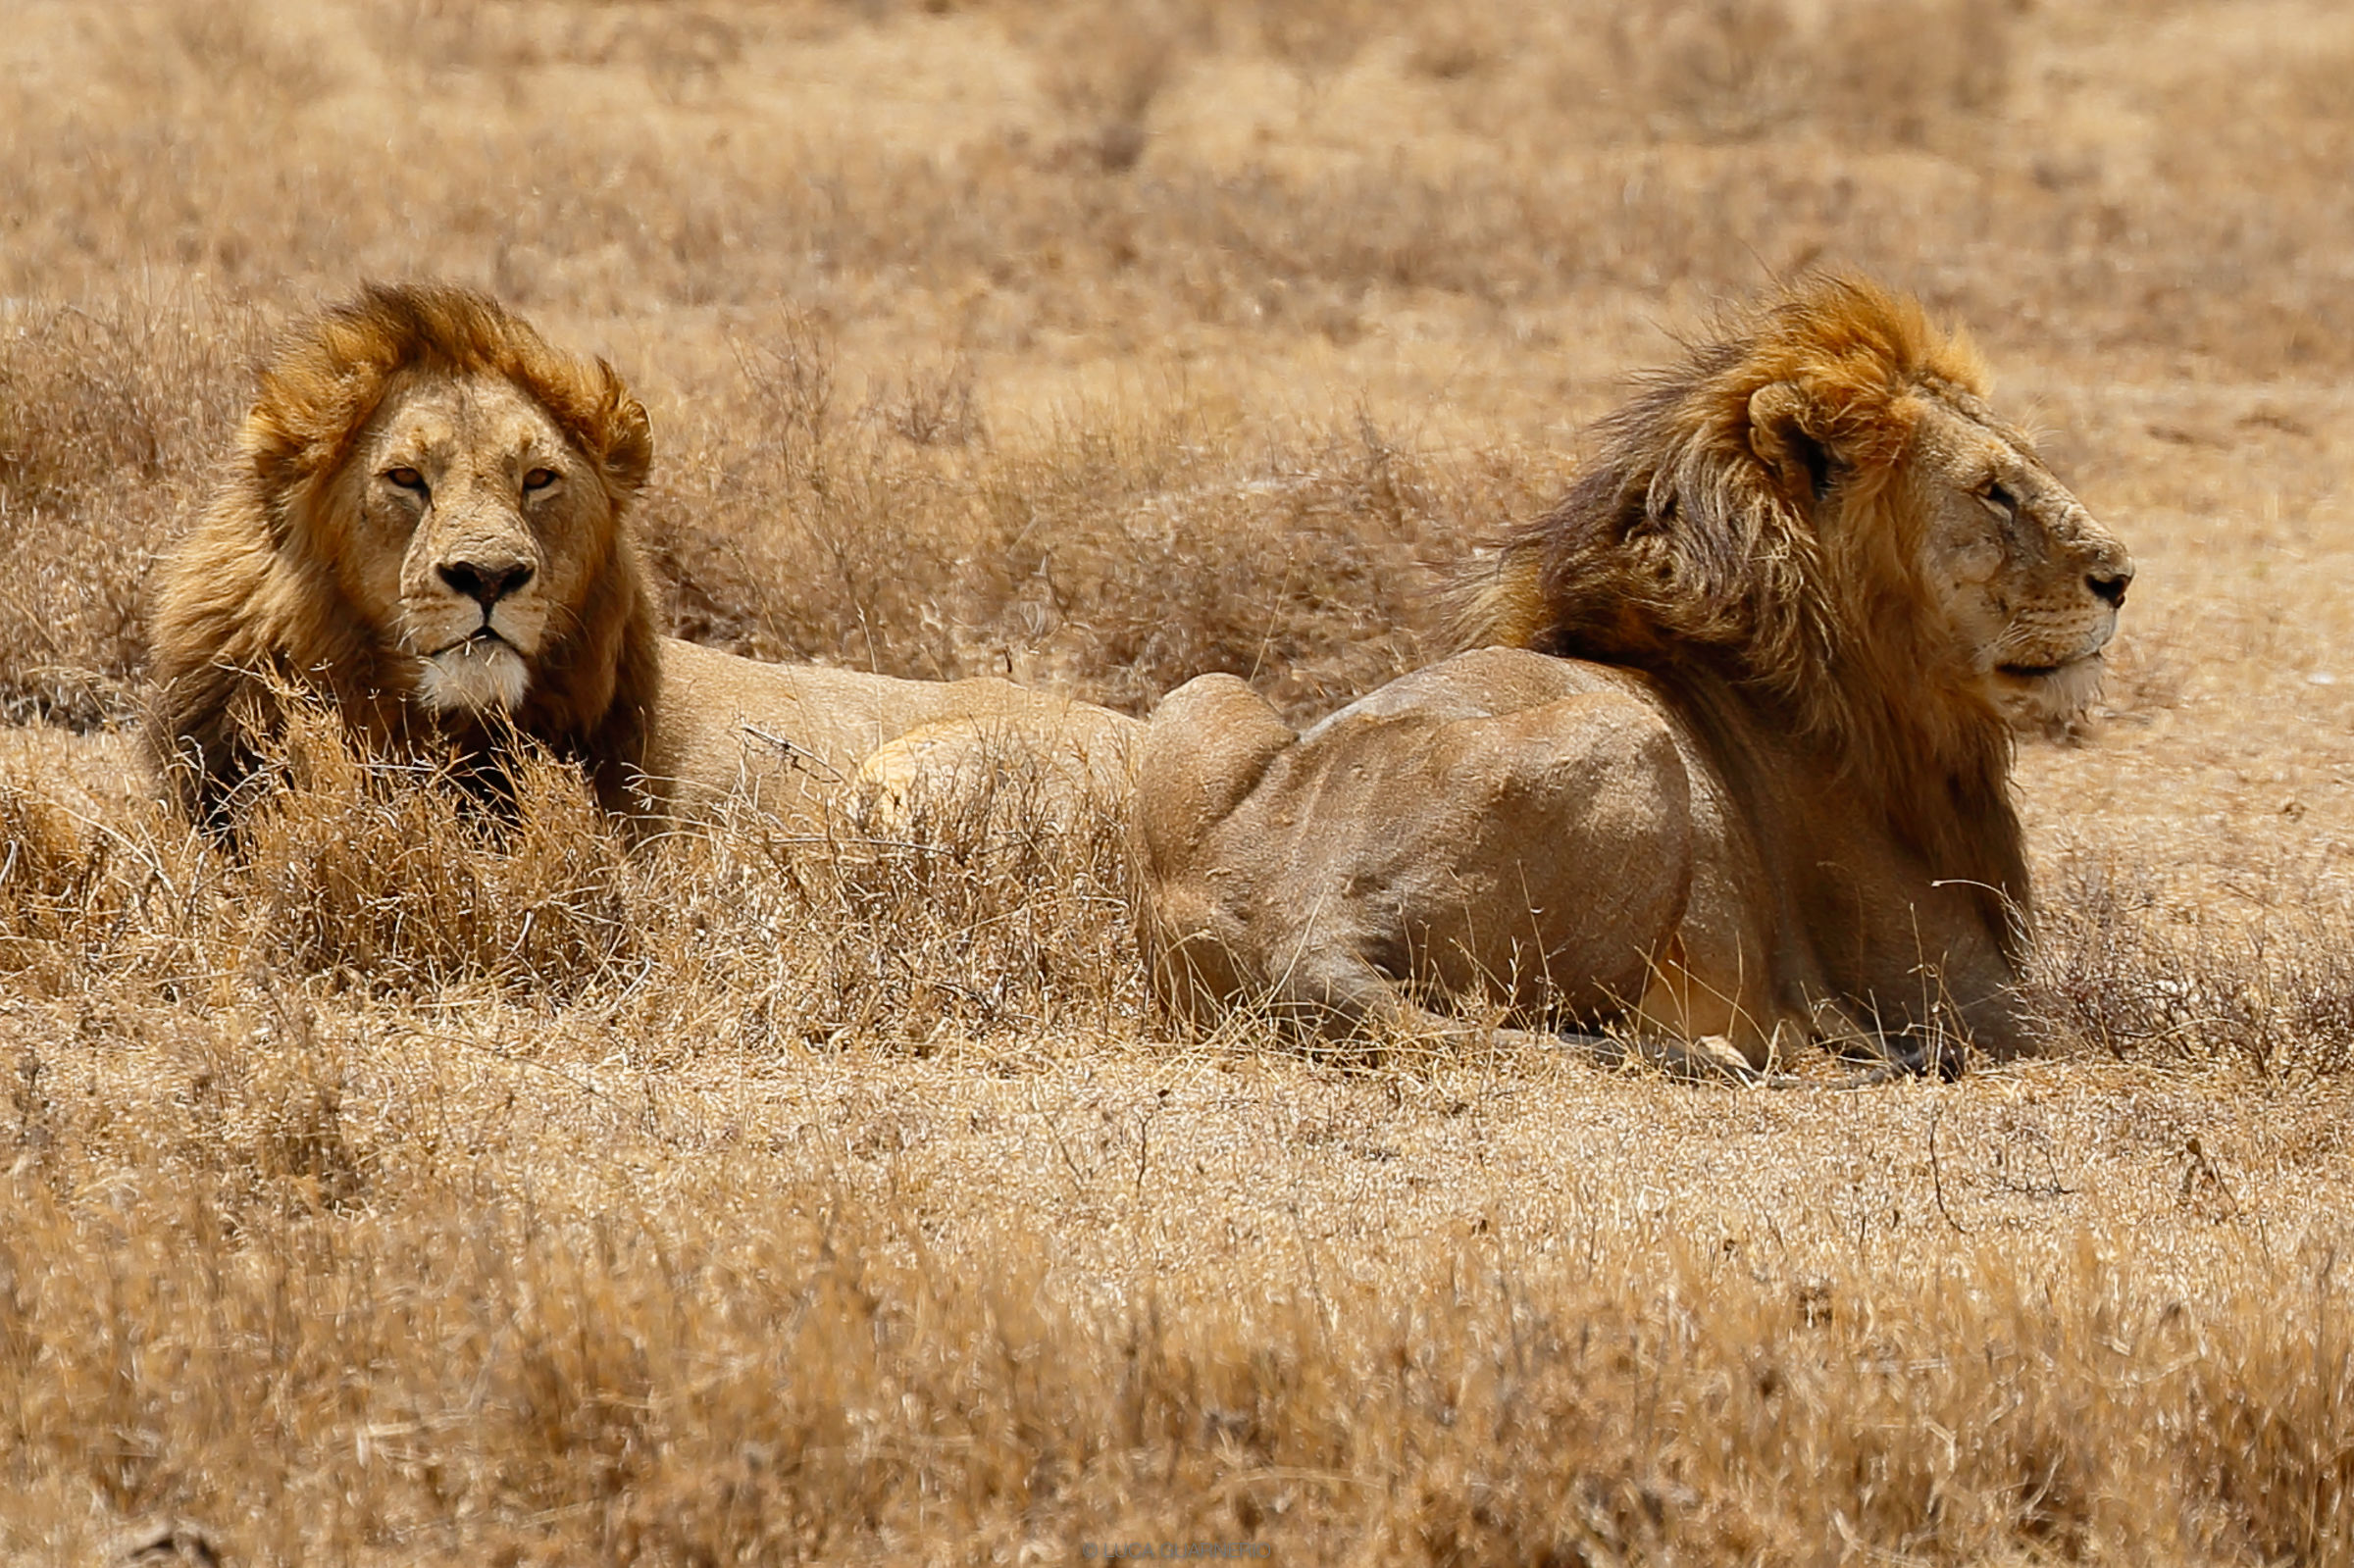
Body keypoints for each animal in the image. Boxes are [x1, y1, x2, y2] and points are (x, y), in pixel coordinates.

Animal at [1130, 277, 2134, 1078]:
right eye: (1993, 490)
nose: (2122, 575)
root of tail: (1298, 930)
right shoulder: (1953, 987)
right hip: (1632, 741)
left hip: (1205, 696)